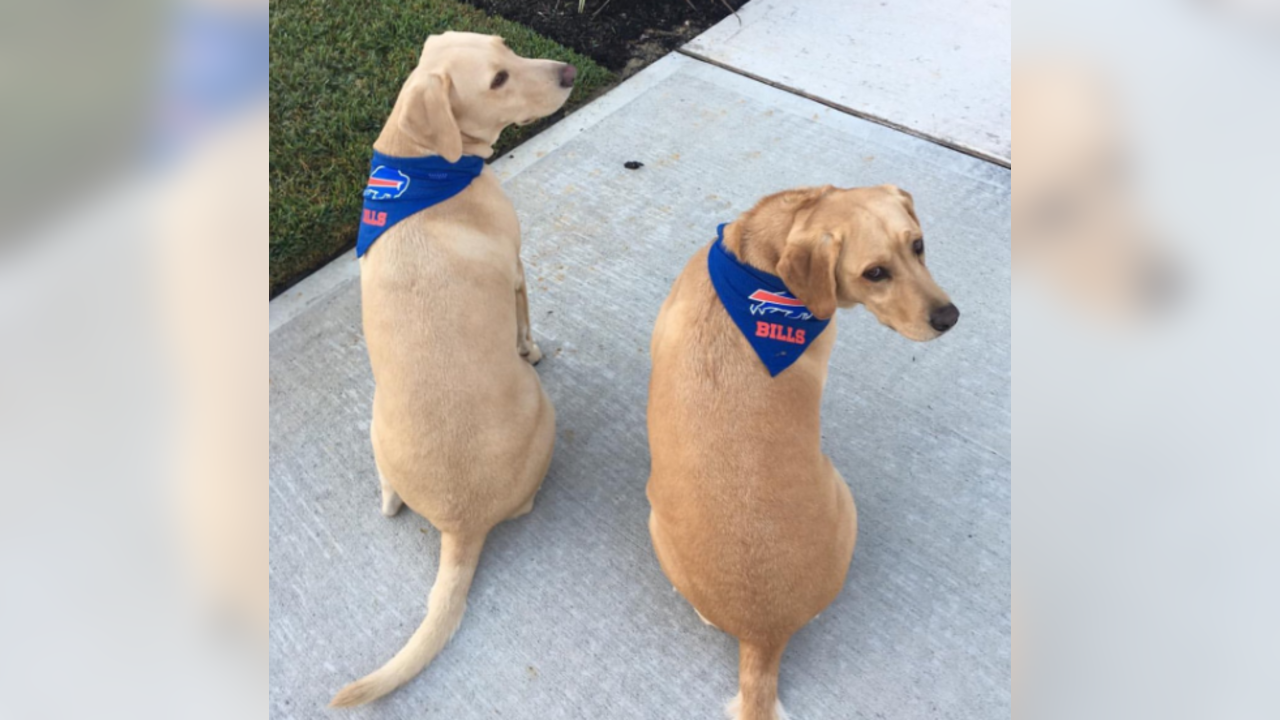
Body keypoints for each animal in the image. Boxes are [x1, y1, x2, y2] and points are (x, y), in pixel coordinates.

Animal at [330, 33, 576, 707]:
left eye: (506, 47)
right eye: (497, 80)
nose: (570, 72)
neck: (420, 167)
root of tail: (462, 526)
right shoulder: (517, 267)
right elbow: (524, 325)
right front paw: (531, 347)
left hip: (373, 419)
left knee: (389, 500)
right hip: (543, 410)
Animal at [650, 185, 962, 717]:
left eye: (918, 245)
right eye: (874, 273)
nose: (949, 318)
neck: (762, 272)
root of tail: (763, 636)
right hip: (842, 496)